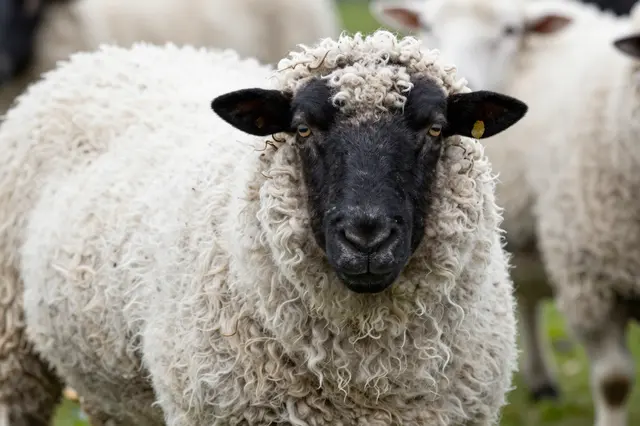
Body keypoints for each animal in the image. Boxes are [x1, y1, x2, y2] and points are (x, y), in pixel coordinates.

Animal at [0, 30, 529, 425]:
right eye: (302, 128)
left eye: (436, 128)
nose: (366, 237)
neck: (365, 377)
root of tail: (112, 53)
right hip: (13, 354)